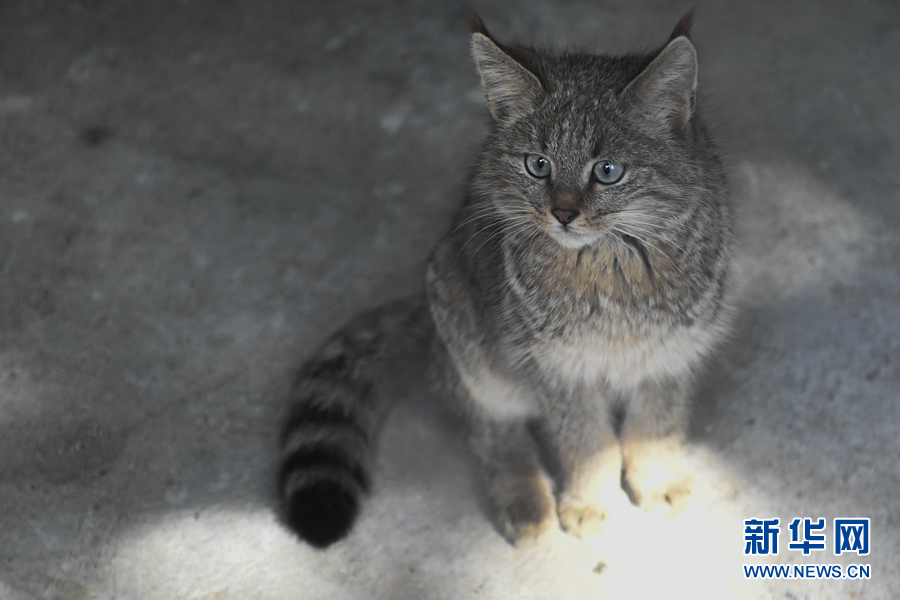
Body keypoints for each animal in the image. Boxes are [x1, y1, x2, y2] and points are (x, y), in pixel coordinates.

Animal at [278, 11, 733, 548]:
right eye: (538, 165)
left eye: (607, 171)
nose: (563, 213)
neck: (610, 265)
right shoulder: (555, 367)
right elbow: (586, 440)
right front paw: (589, 500)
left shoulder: (676, 349)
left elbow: (656, 422)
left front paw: (656, 477)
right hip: (466, 335)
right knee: (488, 429)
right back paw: (525, 499)